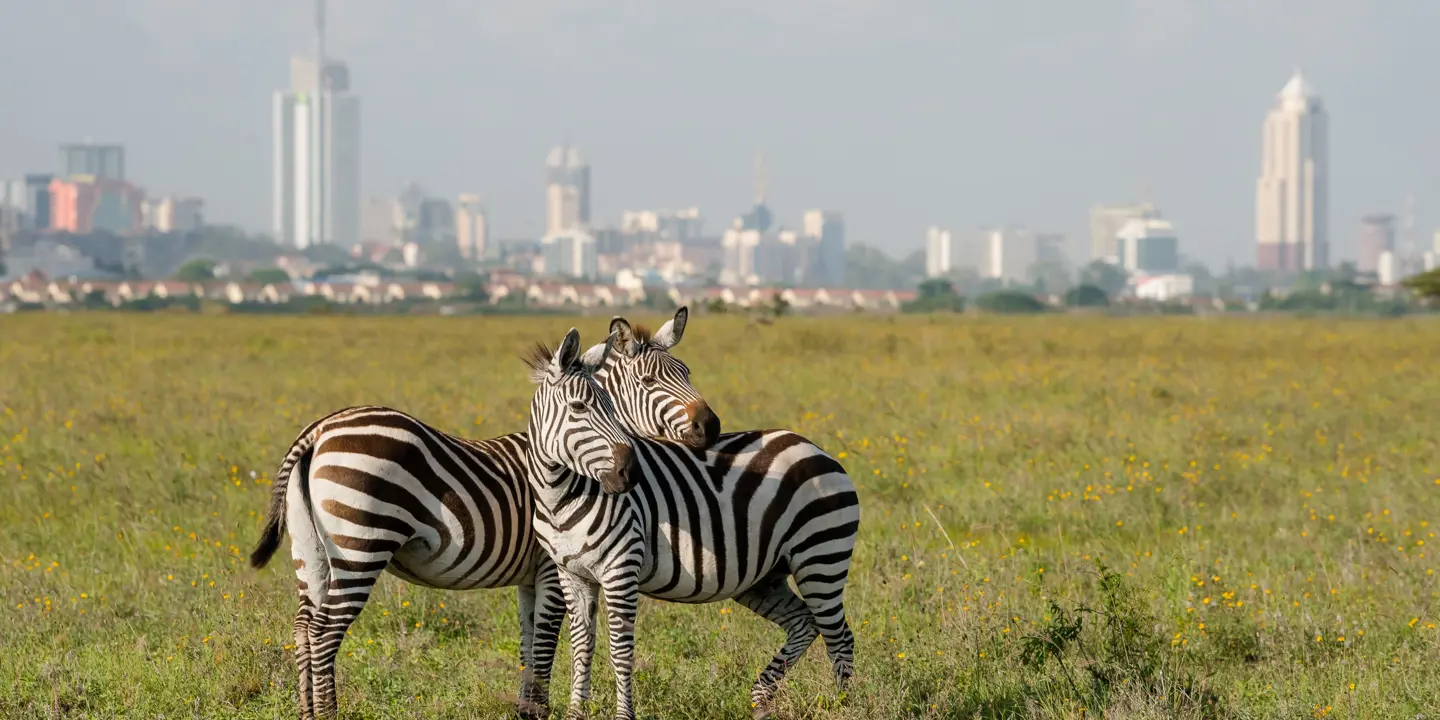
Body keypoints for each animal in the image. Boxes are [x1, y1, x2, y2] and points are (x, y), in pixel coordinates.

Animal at [532, 324, 858, 717]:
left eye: (610, 407)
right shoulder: (572, 575)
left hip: (821, 556)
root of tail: (815, 448)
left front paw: (624, 714)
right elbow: (581, 649)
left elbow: (620, 652)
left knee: (839, 637)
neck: (560, 497)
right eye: (579, 407)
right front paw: (575, 713)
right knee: (804, 623)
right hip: (764, 577)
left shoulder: (620, 570)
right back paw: (762, 697)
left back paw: (844, 706)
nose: (630, 474)